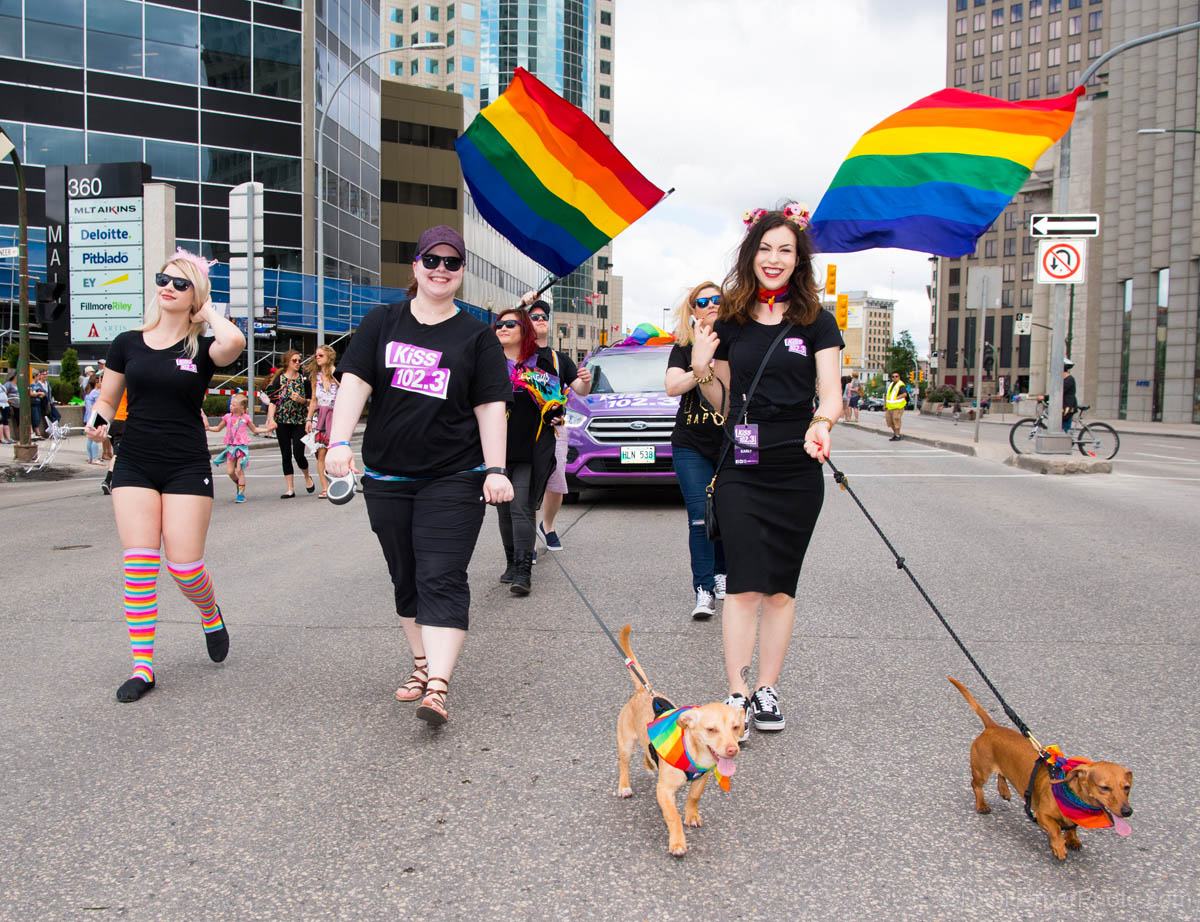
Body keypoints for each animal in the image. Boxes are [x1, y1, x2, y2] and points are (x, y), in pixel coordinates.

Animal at [616, 624, 744, 857]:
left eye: (736, 727)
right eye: (711, 729)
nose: (732, 750)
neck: (694, 752)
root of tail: (643, 691)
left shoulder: (702, 778)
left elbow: (693, 797)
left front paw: (692, 815)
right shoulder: (664, 790)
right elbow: (673, 816)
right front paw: (677, 843)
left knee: (647, 754)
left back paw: (650, 765)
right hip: (626, 744)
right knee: (624, 765)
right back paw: (624, 787)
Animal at [948, 676, 1133, 859]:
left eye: (1127, 787)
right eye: (1104, 787)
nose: (1127, 811)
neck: (1071, 794)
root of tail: (993, 727)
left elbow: (1072, 828)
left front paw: (1073, 840)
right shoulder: (1042, 815)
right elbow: (1055, 829)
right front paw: (1059, 847)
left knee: (1002, 774)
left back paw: (1004, 790)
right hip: (982, 771)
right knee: (976, 785)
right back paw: (982, 805)